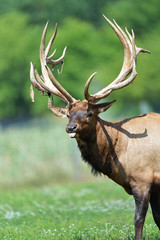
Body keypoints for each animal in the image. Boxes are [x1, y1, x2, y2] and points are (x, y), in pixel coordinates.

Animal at [29, 15, 159, 240]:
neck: (118, 152)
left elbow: (139, 220)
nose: (71, 128)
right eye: (69, 114)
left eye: (89, 113)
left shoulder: (143, 178)